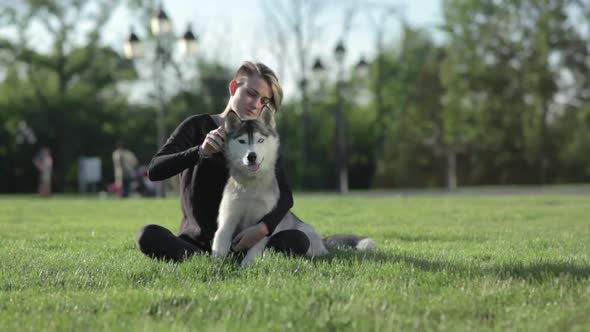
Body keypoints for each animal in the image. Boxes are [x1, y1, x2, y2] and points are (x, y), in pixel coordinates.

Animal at [214, 107, 374, 266]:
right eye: (242, 141)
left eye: (260, 140)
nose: (251, 156)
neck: (251, 184)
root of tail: (323, 240)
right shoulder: (227, 219)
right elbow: (220, 242)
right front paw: (217, 266)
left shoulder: (261, 226)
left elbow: (253, 251)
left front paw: (246, 266)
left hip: (306, 236)